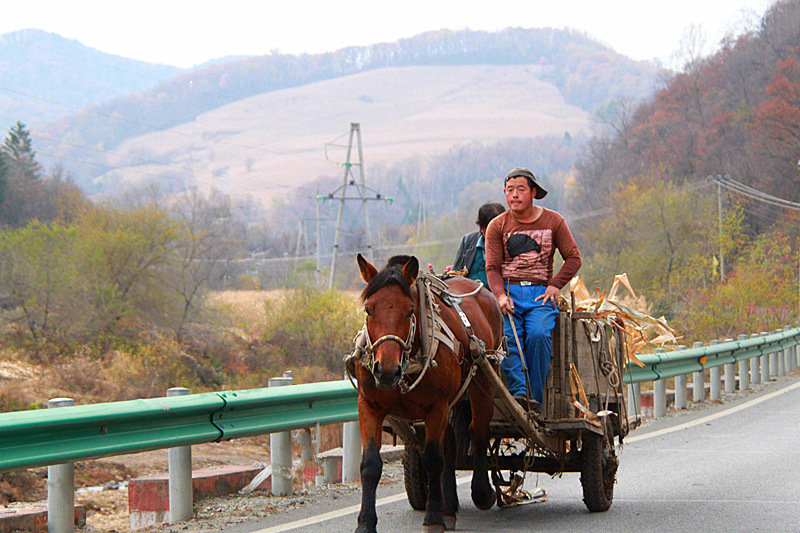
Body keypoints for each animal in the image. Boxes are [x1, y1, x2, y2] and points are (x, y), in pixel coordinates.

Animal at [354, 254, 504, 532]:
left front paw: (433, 518)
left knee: (478, 430)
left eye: (410, 310)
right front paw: (366, 523)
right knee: (450, 444)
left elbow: (434, 460)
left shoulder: (437, 406)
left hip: (484, 381)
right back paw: (449, 506)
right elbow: (369, 464)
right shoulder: (369, 405)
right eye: (369, 309)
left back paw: (482, 492)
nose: (386, 370)